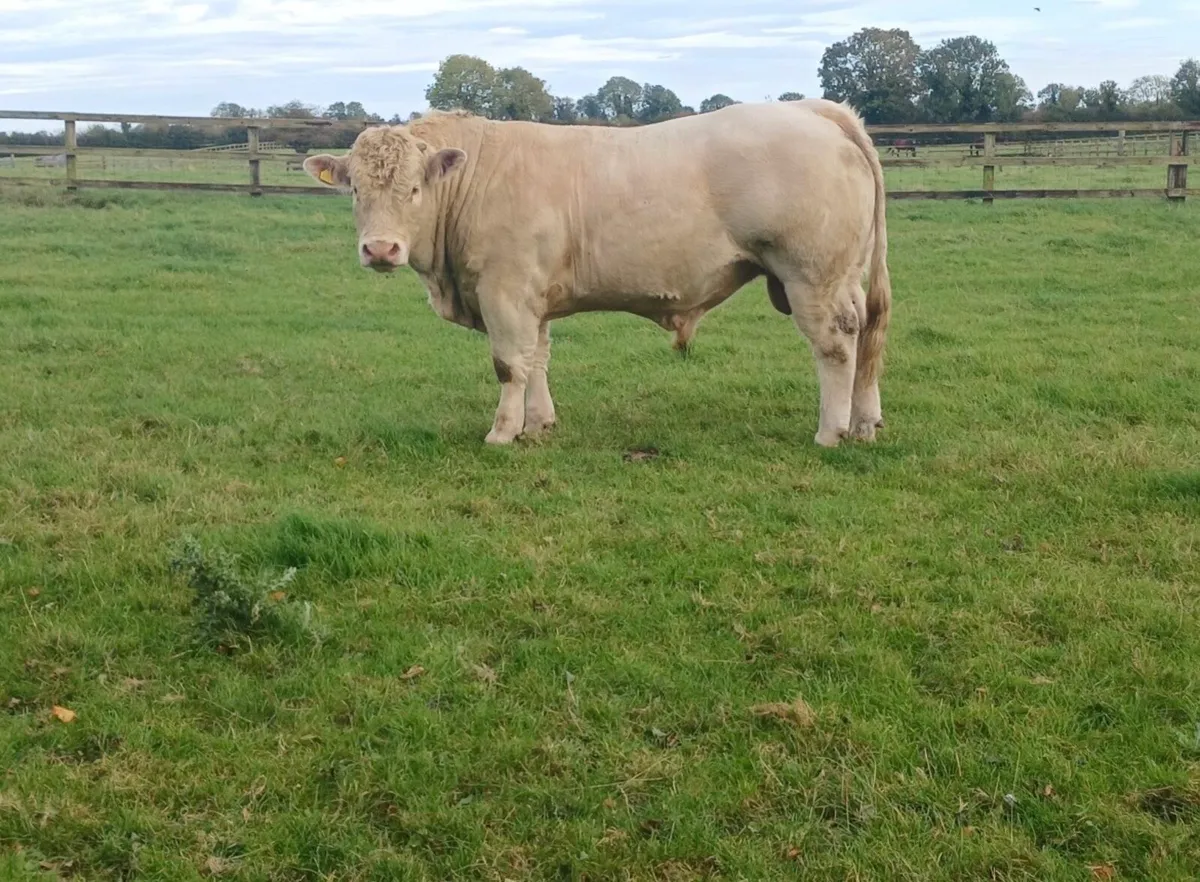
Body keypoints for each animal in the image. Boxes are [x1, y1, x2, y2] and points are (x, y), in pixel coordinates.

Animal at [302, 98, 892, 448]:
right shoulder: (532, 296)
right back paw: (865, 423)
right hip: (843, 277)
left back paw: (832, 431)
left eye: (414, 189)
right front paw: (538, 424)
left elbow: (508, 365)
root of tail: (813, 110)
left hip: (812, 277)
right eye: (355, 190)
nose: (380, 248)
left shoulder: (504, 289)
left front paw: (501, 433)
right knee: (866, 334)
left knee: (836, 344)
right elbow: (537, 359)